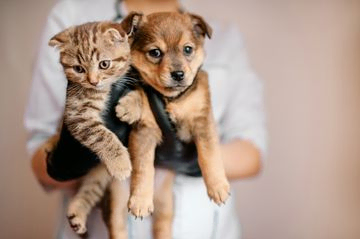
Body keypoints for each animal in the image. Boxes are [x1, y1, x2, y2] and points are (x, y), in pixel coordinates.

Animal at [118, 10, 231, 237]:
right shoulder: (145, 132)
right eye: (155, 52)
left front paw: (218, 186)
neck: (172, 99)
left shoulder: (203, 122)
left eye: (187, 49)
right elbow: (143, 168)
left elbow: (209, 154)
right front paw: (140, 201)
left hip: (166, 208)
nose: (178, 74)